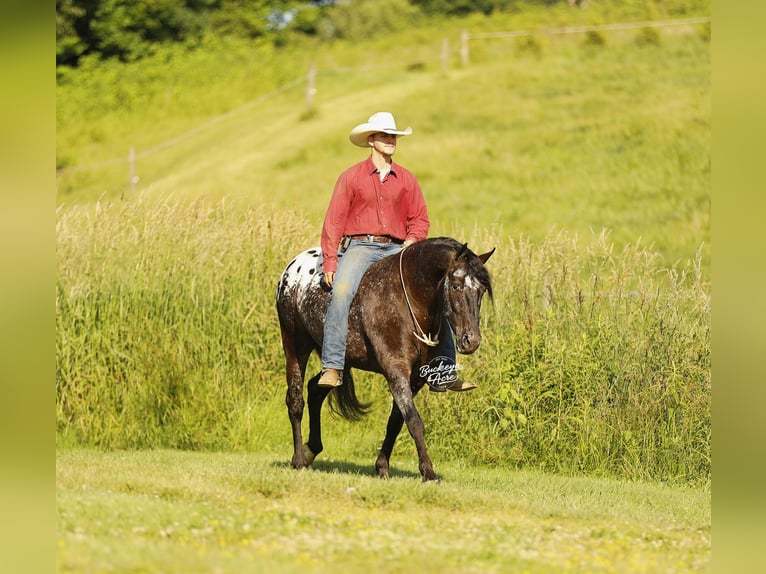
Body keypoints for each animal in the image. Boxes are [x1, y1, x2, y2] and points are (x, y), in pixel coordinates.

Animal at [275, 237, 494, 481]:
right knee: (295, 400)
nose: (471, 340)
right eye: (456, 286)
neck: (406, 301)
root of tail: (293, 267)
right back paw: (298, 459)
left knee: (316, 389)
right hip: (295, 346)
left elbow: (396, 422)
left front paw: (381, 467)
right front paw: (428, 472)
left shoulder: (415, 378)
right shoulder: (395, 370)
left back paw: (311, 450)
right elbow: (414, 421)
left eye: (482, 290)